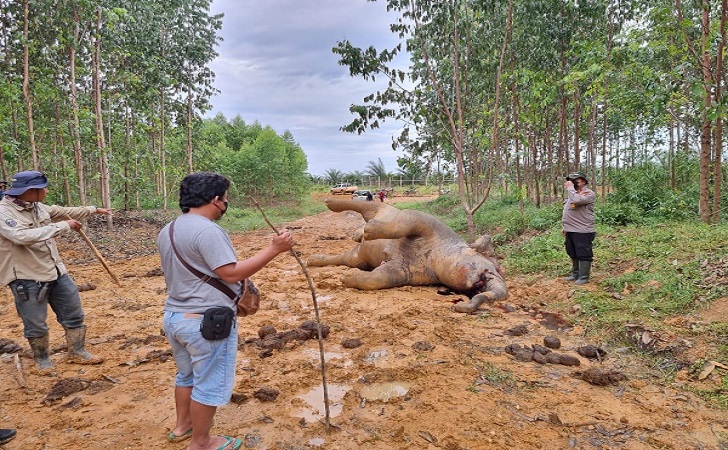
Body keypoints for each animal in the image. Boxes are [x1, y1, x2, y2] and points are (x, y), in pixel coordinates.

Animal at [308, 199, 506, 312]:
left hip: (358, 257)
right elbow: (404, 222)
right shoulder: (423, 221)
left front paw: (347, 277)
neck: (434, 256)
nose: (460, 306)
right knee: (363, 205)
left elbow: (378, 279)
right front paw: (370, 230)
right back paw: (332, 203)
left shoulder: (404, 272)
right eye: (494, 270)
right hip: (379, 207)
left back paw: (313, 260)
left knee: (345, 259)